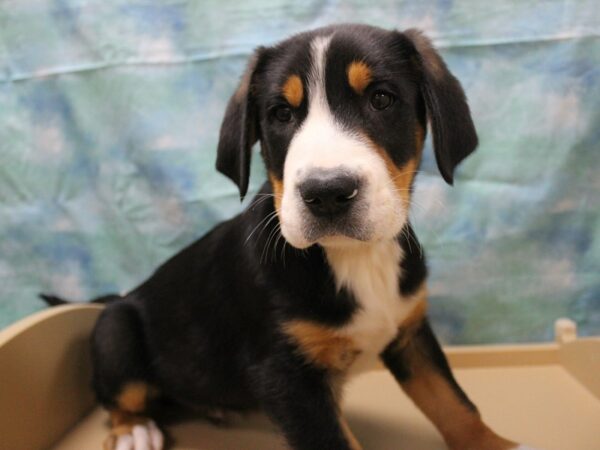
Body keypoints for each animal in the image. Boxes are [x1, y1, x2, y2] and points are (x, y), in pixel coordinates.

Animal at [42, 23, 532, 450]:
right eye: (281, 114)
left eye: (381, 99)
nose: (327, 192)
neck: (353, 257)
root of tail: (120, 297)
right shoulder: (286, 376)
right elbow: (334, 441)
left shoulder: (410, 332)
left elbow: (454, 402)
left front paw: (499, 445)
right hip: (116, 331)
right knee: (117, 396)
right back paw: (134, 431)